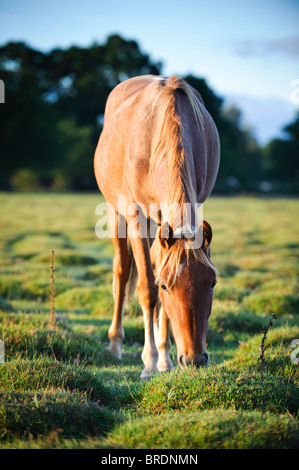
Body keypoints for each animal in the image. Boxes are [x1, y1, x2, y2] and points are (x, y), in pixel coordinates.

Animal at [95, 75, 221, 380]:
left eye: (212, 282)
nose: (194, 359)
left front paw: (164, 358)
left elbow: (157, 281)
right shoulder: (136, 216)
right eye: (166, 286)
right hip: (117, 214)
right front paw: (150, 362)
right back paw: (115, 343)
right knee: (122, 269)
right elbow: (147, 288)